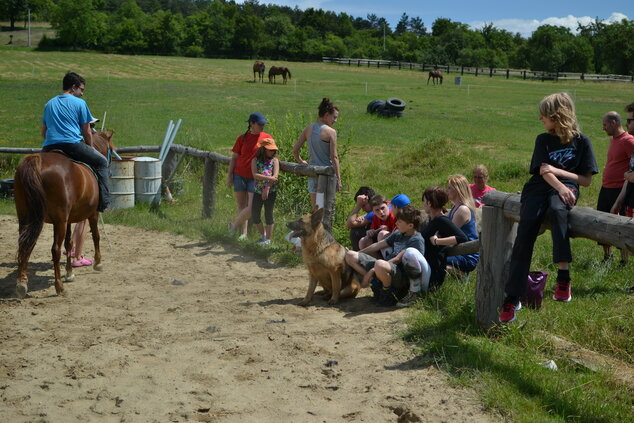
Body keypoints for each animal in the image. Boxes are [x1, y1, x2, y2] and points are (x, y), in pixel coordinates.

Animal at [14, 132, 115, 298]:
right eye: (111, 150)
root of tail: (36, 161)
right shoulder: (92, 214)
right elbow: (96, 235)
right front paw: (98, 263)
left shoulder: (68, 219)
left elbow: (69, 243)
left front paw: (69, 272)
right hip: (57, 221)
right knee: (54, 249)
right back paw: (59, 287)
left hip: (25, 217)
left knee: (25, 245)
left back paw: (22, 283)